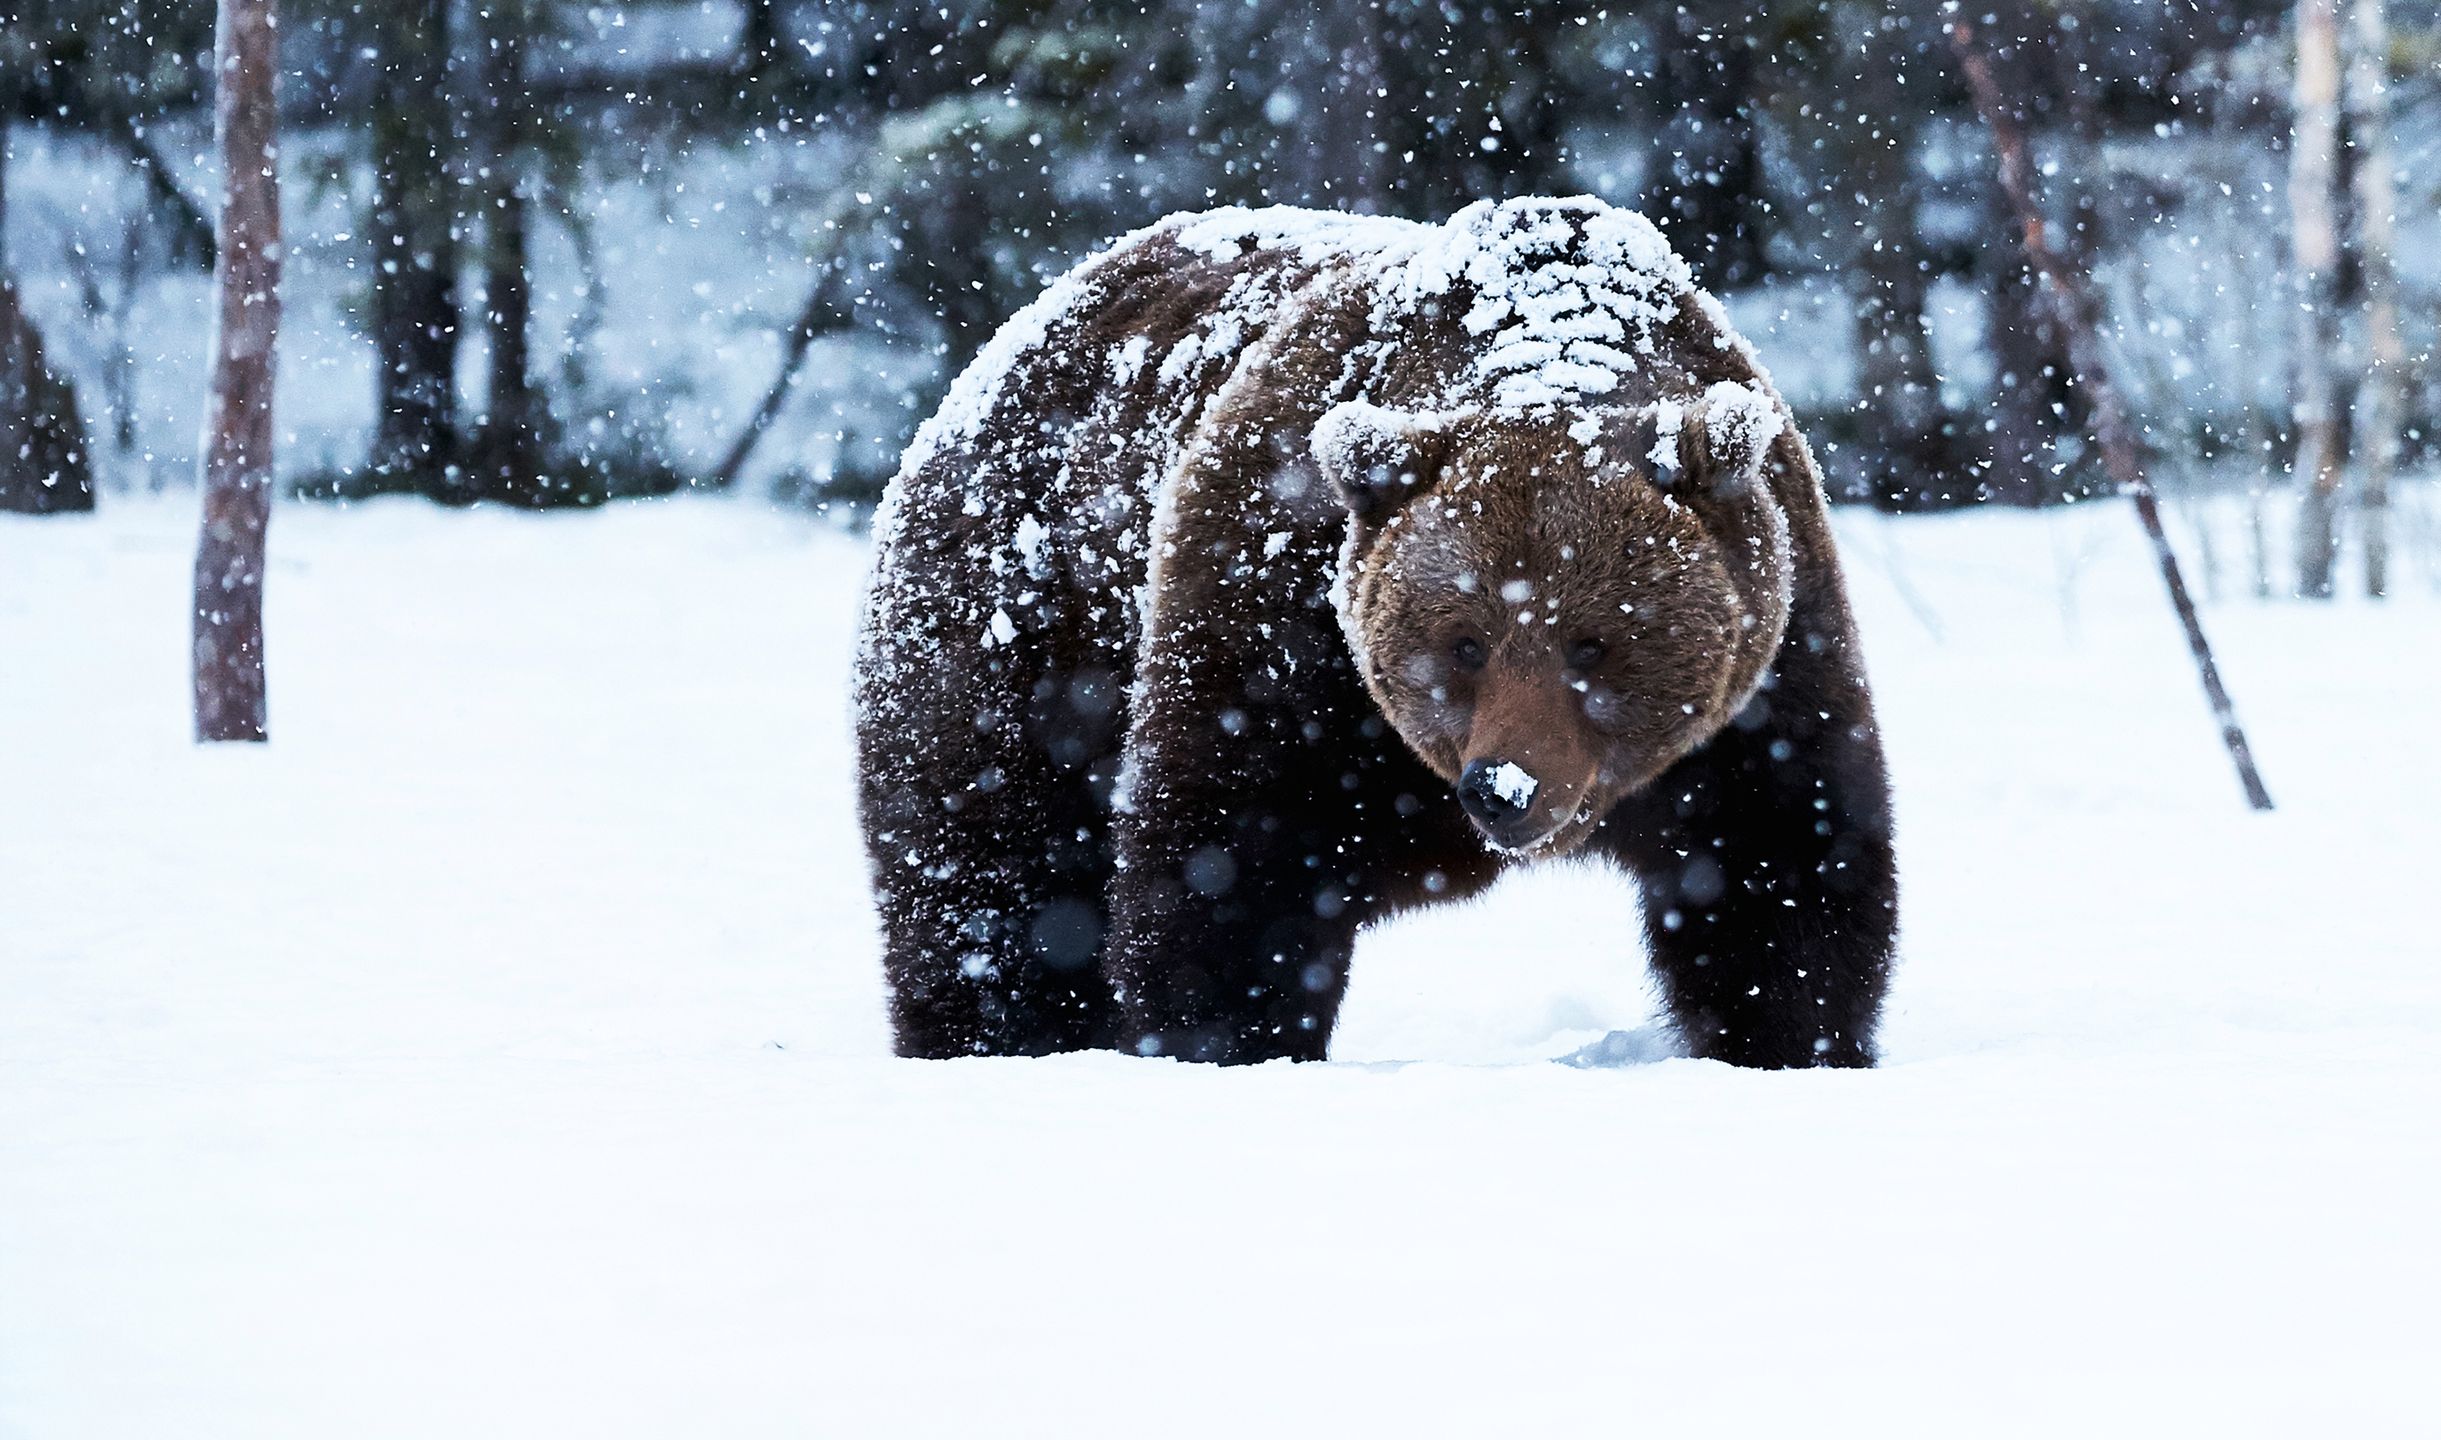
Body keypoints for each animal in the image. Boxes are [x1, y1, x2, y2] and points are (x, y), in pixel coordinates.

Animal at [859, 197, 1903, 1069]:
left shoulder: (1764, 675)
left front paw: (1792, 1047)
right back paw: (992, 1040)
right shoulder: (1274, 626)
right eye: (1465, 641)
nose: (1504, 789)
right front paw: (1232, 1045)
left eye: (1593, 642)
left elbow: (1783, 875)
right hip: (1020, 629)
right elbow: (1224, 875)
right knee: (990, 873)